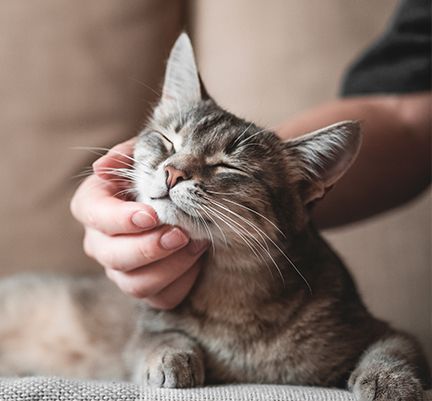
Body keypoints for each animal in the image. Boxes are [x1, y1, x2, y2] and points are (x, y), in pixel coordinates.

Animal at [0, 32, 428, 398]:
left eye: (227, 166)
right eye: (168, 141)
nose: (172, 172)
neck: (229, 293)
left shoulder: (383, 330)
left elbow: (393, 350)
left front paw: (390, 382)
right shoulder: (143, 331)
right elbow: (156, 338)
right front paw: (172, 356)